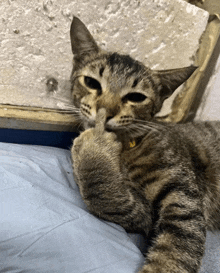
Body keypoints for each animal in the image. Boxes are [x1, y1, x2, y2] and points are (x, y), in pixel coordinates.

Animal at [69, 16, 220, 270]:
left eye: (136, 97)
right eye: (91, 82)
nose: (105, 111)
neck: (128, 148)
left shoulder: (183, 197)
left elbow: (176, 251)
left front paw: (93, 145)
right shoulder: (143, 213)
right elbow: (107, 197)